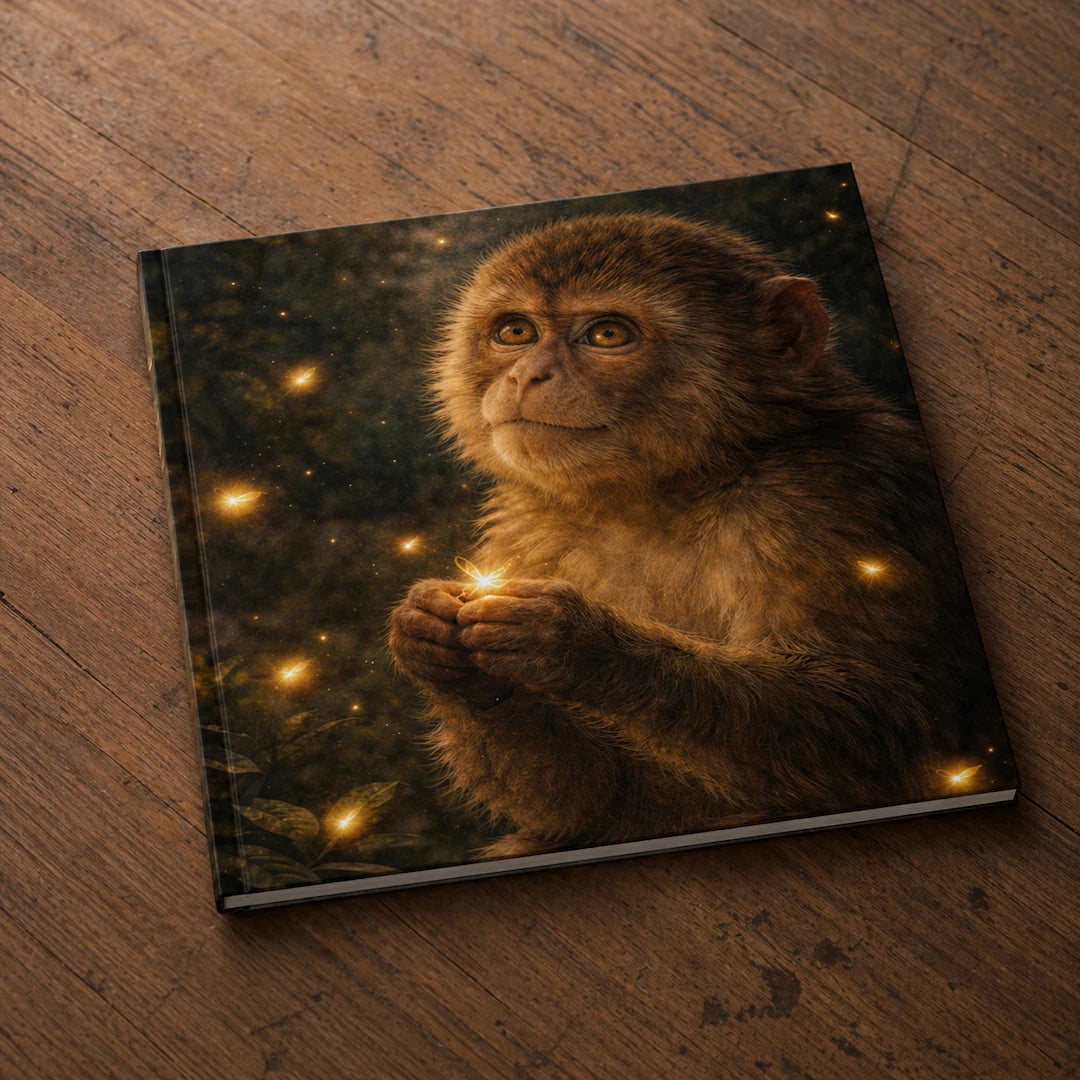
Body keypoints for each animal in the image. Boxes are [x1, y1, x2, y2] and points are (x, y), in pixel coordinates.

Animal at [388, 211, 992, 860]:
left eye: (607, 335)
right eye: (516, 331)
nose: (527, 374)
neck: (663, 491)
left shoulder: (826, 498)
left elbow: (881, 725)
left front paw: (577, 641)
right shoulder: (524, 536)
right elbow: (608, 807)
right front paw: (443, 654)